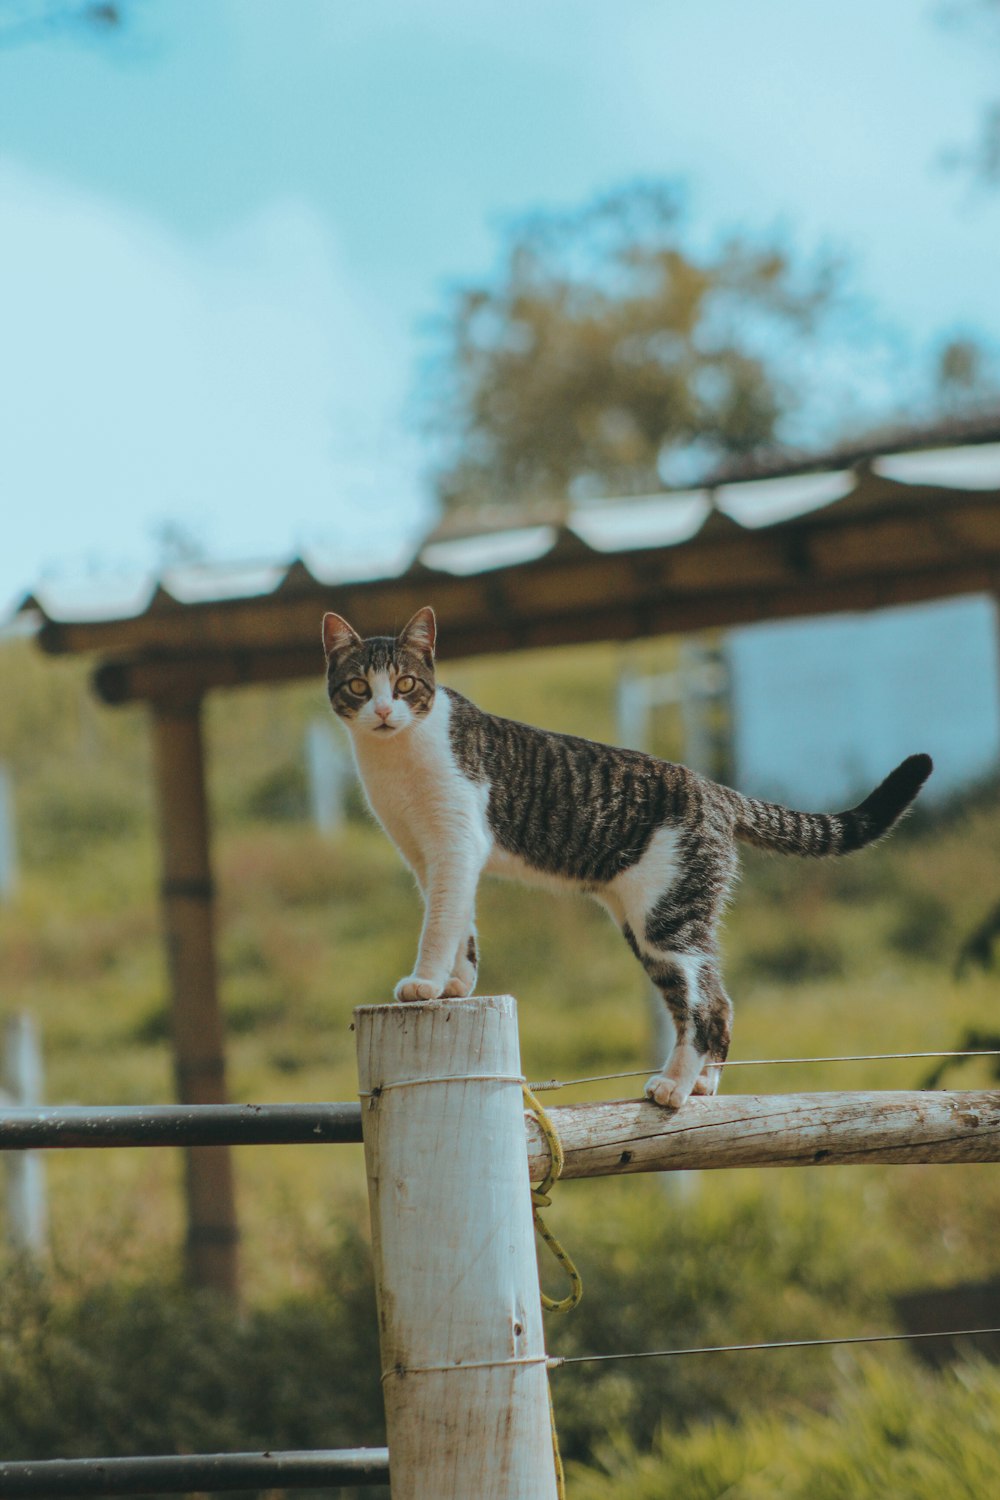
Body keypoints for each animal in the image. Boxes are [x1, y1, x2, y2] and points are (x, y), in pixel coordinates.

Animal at [325, 603, 935, 1110]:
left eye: (405, 684)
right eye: (358, 686)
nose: (384, 711)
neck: (395, 756)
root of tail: (715, 790)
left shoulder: (455, 843)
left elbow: (438, 925)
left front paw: (423, 986)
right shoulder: (427, 857)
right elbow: (460, 925)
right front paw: (457, 986)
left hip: (666, 918)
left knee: (703, 1009)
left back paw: (673, 1088)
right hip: (660, 925)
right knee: (718, 1000)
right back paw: (701, 1084)